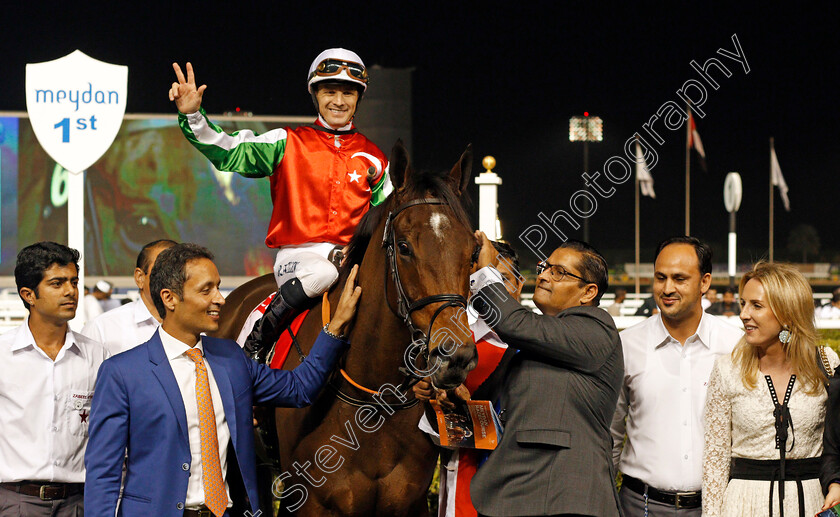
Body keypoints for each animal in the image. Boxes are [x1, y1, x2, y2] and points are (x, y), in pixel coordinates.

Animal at [215, 142, 480, 516]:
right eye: (404, 247)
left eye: (472, 252)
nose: (455, 356)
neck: (373, 401)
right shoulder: (308, 500)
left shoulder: (409, 501)